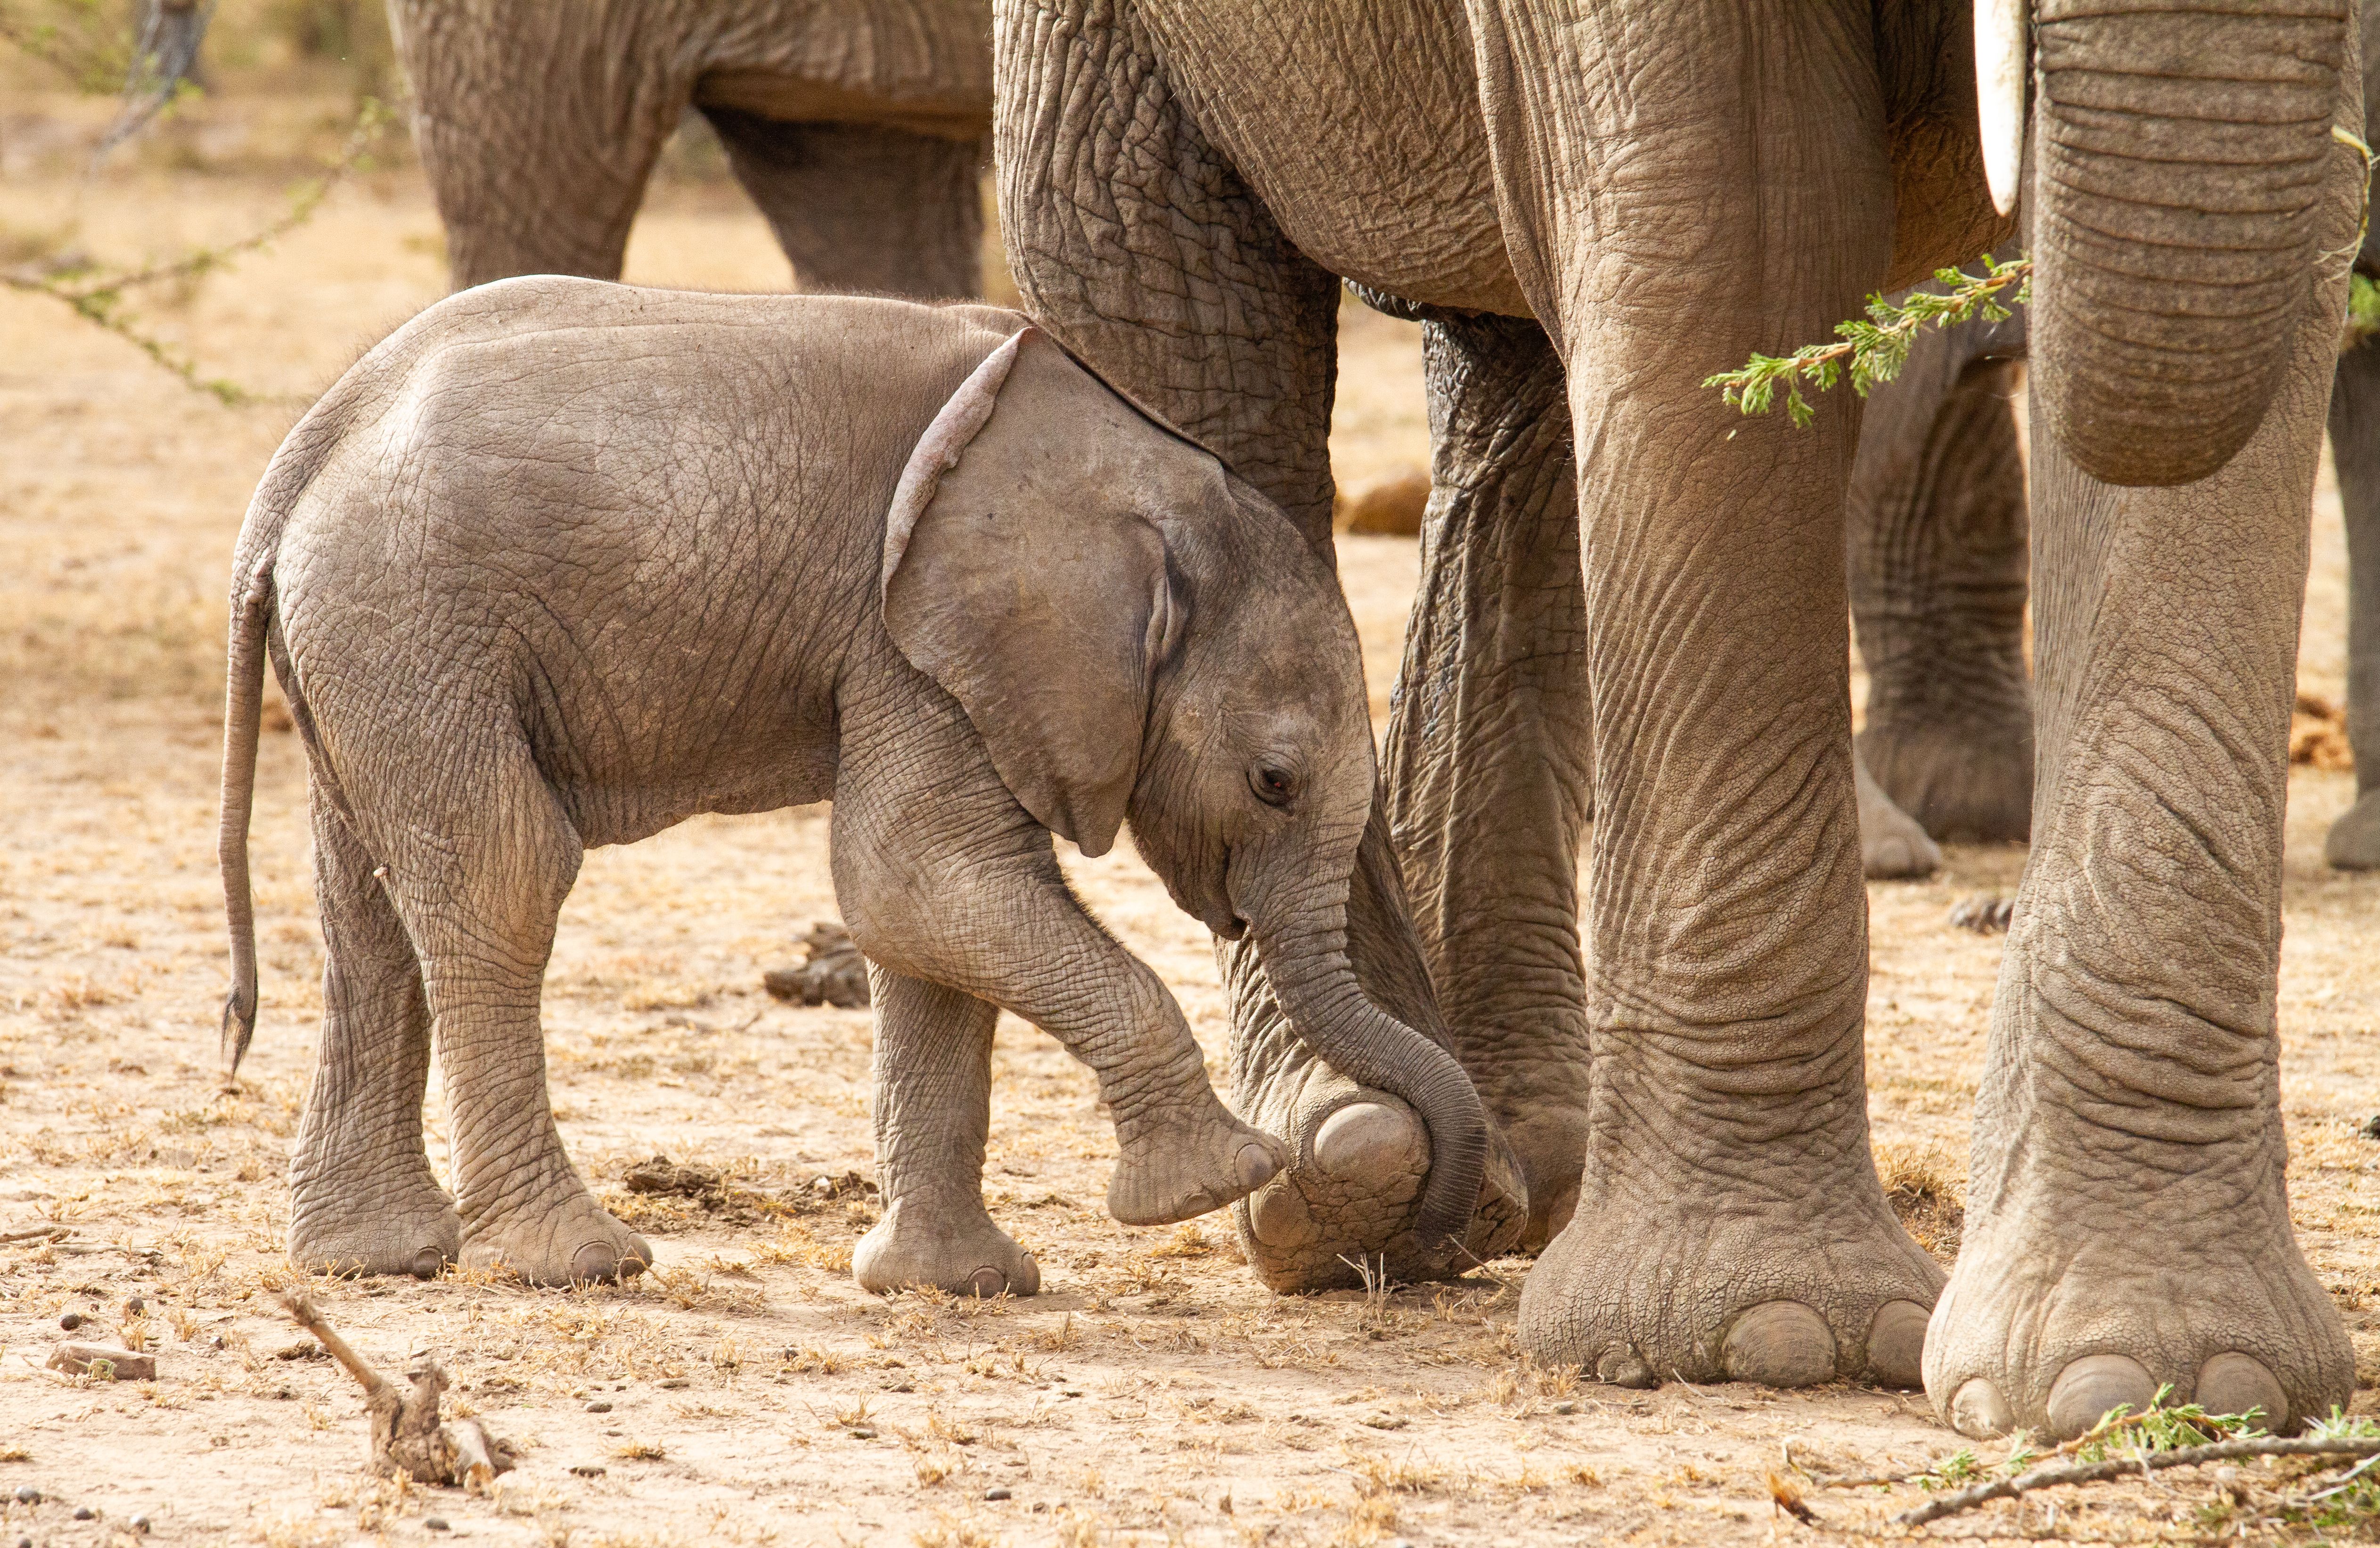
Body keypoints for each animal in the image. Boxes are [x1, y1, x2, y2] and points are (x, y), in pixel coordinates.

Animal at [212, 279, 1513, 1293]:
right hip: (416, 622)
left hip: (370, 650)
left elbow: (931, 927)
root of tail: (292, 471)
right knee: (502, 879)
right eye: (1274, 779)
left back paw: (373, 1261)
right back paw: (578, 1263)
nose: (1441, 1231)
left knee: (369, 914)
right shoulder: (917, 637)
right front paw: (1220, 1179)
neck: (1146, 479)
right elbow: (917, 880)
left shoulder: (939, 655)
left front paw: (957, 1286)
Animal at [994, 0, 2366, 1435]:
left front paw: (2156, 1378)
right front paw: (1762, 1339)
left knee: (1515, 378)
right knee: (1180, 327)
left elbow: (2287, 255)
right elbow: (1732, 231)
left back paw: (1516, 1164)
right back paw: (1369, 1166)